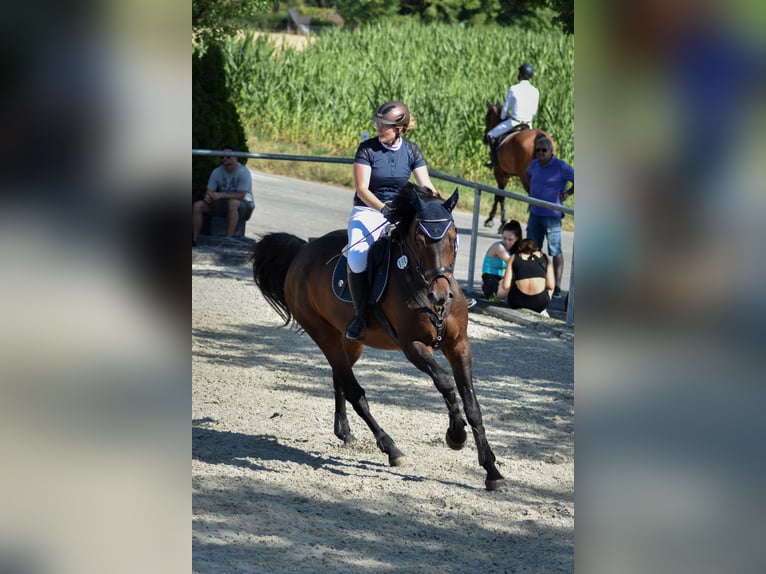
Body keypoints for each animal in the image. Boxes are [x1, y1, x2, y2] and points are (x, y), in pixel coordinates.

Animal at [250, 184, 504, 490]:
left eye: (453, 237)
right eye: (420, 239)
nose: (440, 295)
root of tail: (303, 251)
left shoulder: (459, 345)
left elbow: (473, 405)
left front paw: (492, 470)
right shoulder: (413, 346)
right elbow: (444, 382)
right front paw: (455, 435)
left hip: (350, 341)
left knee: (339, 377)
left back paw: (345, 432)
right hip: (323, 334)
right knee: (354, 390)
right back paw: (391, 448)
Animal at [486, 102, 560, 231]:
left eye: (487, 117)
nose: (485, 138)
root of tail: (539, 135)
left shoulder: (500, 173)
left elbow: (499, 196)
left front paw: (495, 220)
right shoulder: (505, 174)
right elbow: (500, 196)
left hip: (524, 176)